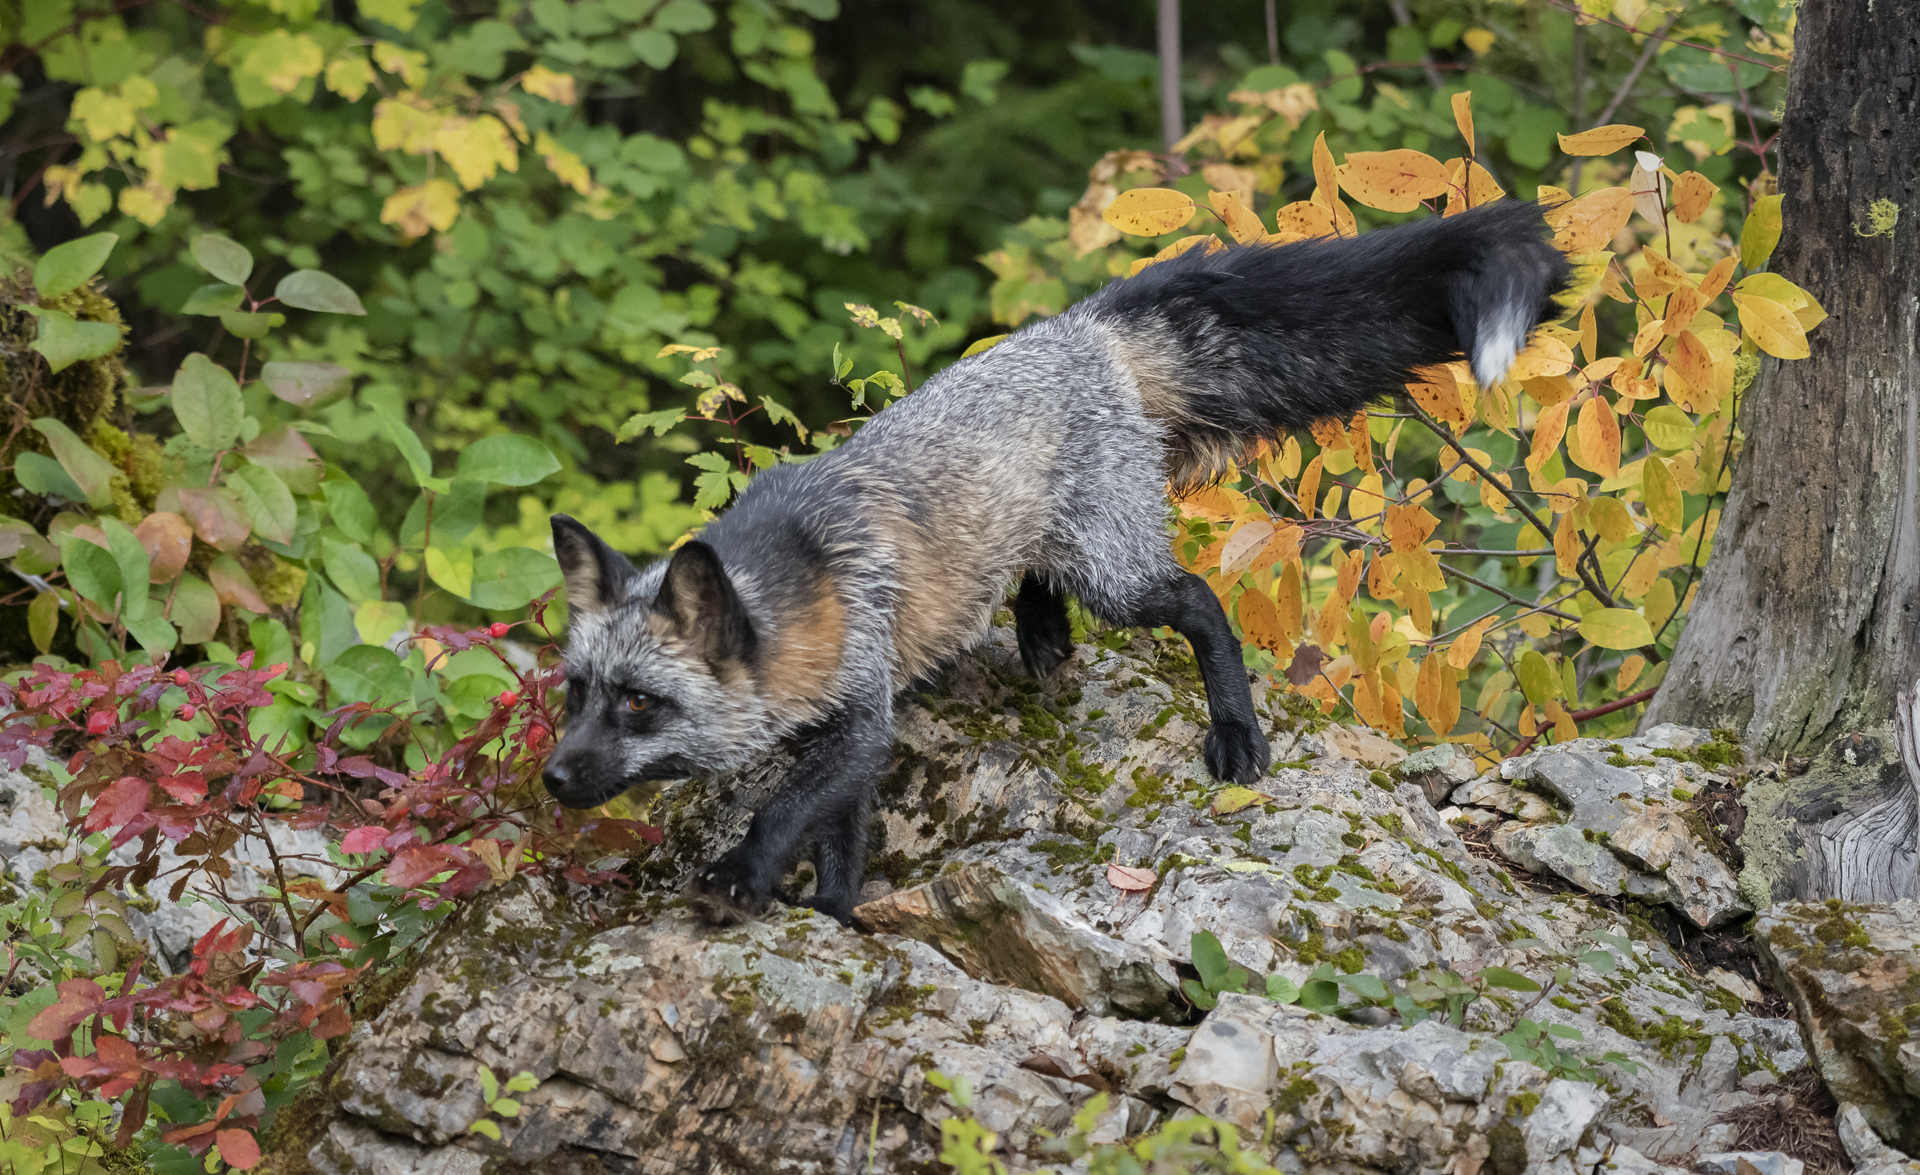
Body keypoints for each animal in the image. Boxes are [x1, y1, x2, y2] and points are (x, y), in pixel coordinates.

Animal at [542, 199, 1570, 926]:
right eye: (575, 693)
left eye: (639, 702)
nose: (552, 777)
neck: (807, 584)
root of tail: (1078, 326)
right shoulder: (849, 727)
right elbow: (838, 839)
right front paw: (833, 913)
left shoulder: (859, 718)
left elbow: (785, 813)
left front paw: (742, 880)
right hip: (1063, 546)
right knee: (1042, 575)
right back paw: (1040, 634)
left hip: (1117, 575)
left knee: (1200, 601)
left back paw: (1234, 731)